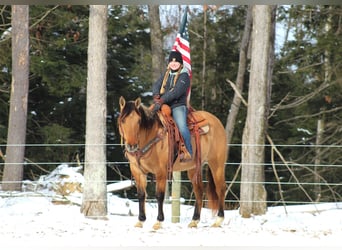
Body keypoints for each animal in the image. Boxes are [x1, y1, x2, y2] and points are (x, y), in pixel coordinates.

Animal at [117, 96, 227, 229]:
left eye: (138, 121)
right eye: (123, 120)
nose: (131, 146)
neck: (151, 136)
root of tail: (217, 121)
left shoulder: (161, 171)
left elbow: (159, 195)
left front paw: (158, 222)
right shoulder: (137, 170)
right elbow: (141, 194)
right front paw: (140, 220)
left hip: (217, 164)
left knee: (220, 188)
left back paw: (219, 220)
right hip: (194, 168)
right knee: (199, 191)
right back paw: (194, 220)